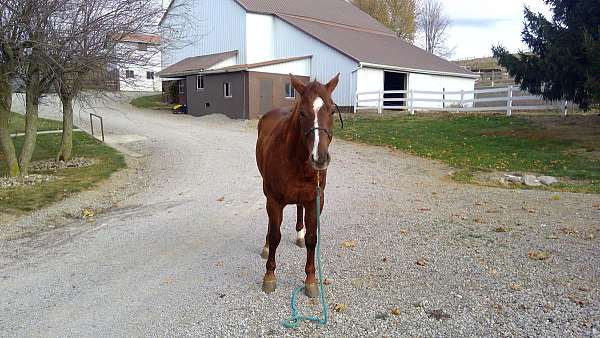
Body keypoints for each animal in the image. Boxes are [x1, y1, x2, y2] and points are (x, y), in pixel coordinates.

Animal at [255, 73, 340, 296]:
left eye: (332, 110)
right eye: (302, 112)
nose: (319, 158)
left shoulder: (315, 200)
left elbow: (312, 238)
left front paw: (310, 280)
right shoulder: (274, 200)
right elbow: (275, 235)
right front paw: (269, 276)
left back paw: (299, 235)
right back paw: (265, 246)